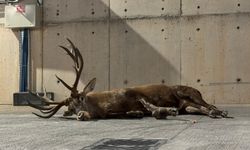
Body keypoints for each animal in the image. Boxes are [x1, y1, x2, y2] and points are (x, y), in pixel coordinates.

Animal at [27, 38, 230, 120]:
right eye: (69, 108)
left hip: (189, 94)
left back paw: (220, 112)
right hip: (188, 105)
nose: (80, 115)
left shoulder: (135, 93)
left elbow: (151, 106)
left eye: (81, 99)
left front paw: (166, 110)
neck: (108, 103)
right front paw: (137, 112)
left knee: (208, 105)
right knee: (197, 108)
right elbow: (134, 112)